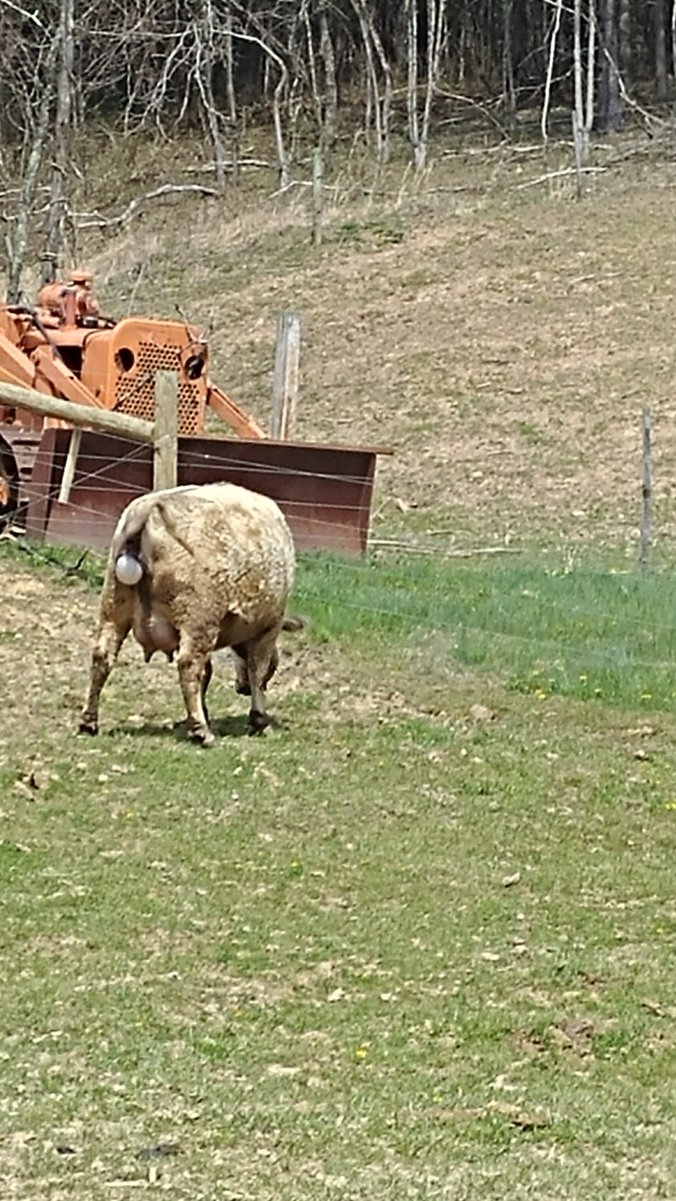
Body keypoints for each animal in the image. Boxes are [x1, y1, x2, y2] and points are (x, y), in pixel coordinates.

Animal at [79, 482, 300, 745]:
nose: (241, 689)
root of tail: (150, 509)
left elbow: (209, 673)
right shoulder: (268, 626)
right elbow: (257, 668)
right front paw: (258, 719)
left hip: (114, 605)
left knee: (102, 655)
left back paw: (89, 722)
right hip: (198, 617)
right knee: (188, 664)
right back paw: (200, 730)